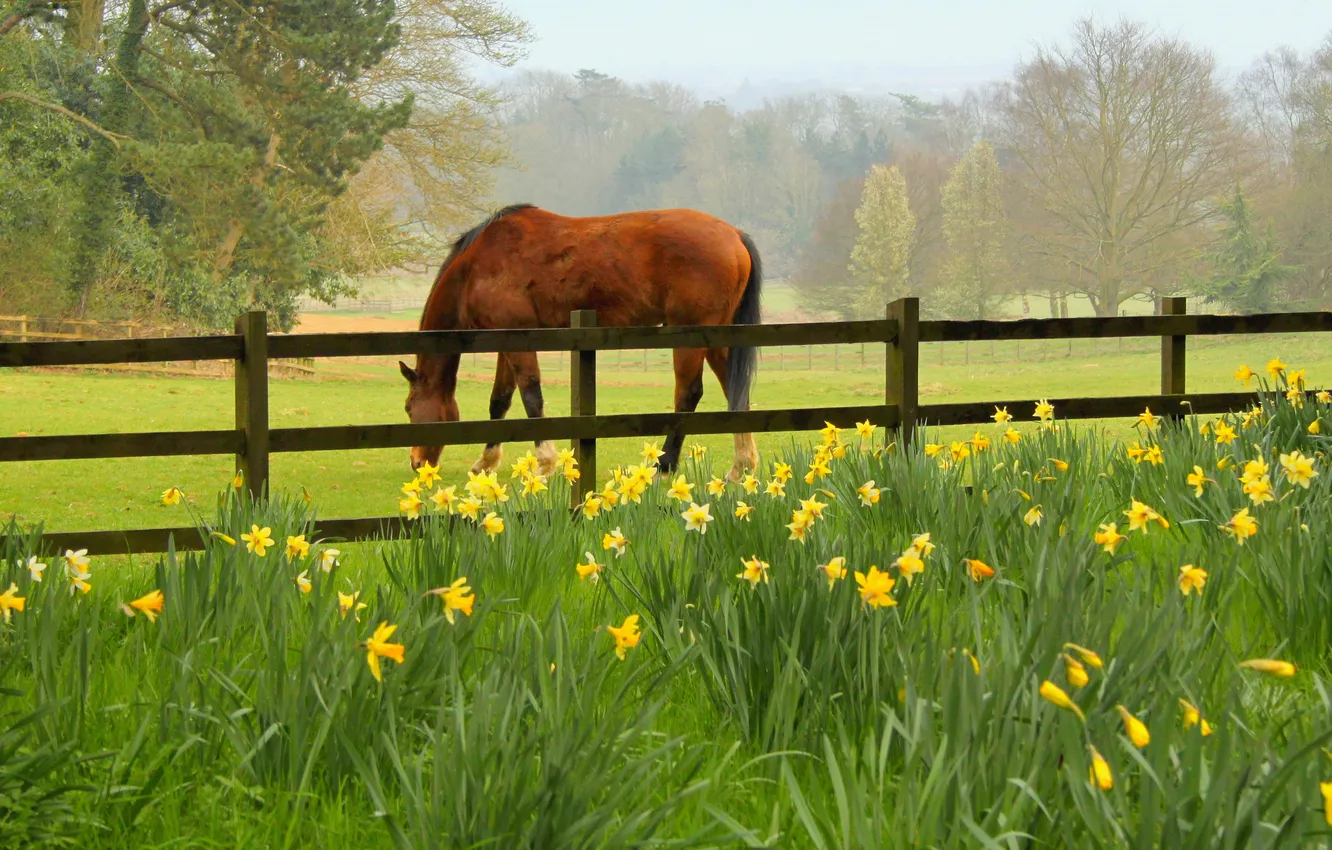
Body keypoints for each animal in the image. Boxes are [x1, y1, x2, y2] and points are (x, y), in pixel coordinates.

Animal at [399, 203, 762, 481]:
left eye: (408, 408)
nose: (416, 463)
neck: (477, 266)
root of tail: (735, 235)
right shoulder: (504, 339)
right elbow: (499, 401)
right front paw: (486, 463)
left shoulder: (518, 340)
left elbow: (531, 397)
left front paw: (544, 465)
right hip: (719, 338)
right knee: (736, 393)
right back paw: (740, 467)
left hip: (692, 335)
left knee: (688, 394)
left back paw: (664, 465)